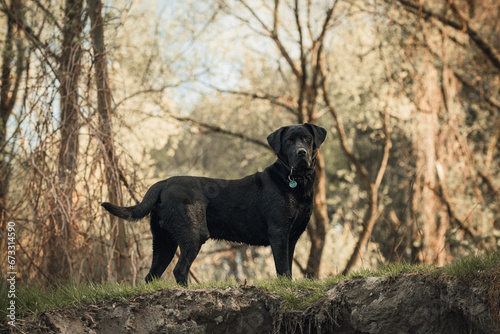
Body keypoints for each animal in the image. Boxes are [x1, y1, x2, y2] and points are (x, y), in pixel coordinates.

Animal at [102, 122, 328, 284]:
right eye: (288, 141)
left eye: (307, 138)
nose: (301, 152)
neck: (296, 181)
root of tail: (163, 183)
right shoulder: (279, 232)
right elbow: (282, 268)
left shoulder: (293, 236)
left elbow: (287, 267)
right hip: (193, 234)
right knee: (179, 270)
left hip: (164, 242)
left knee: (151, 276)